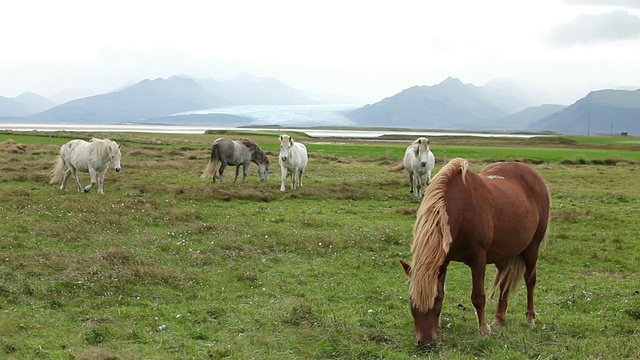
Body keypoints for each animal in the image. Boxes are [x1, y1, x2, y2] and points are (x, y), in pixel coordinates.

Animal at [400, 159, 552, 350]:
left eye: (434, 301)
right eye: (411, 301)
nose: (425, 344)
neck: (460, 212)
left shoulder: (478, 260)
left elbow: (478, 297)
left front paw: (484, 329)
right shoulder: (444, 261)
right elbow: (443, 290)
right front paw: (440, 324)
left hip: (532, 248)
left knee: (530, 280)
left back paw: (530, 318)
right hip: (503, 254)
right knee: (504, 283)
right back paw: (499, 318)